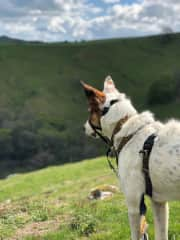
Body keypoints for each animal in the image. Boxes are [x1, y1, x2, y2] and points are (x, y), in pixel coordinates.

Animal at [81, 76, 180, 240]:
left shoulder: (134, 206)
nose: (83, 128)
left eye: (90, 110)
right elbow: (161, 234)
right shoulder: (158, 202)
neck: (125, 128)